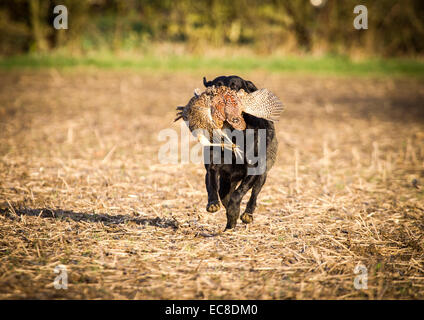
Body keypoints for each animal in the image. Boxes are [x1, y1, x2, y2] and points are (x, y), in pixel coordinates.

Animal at [202, 75, 278, 230]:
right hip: (227, 180)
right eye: (217, 85)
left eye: (235, 86)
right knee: (224, 193)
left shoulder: (253, 169)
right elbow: (212, 185)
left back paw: (247, 214)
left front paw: (234, 210)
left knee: (254, 195)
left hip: (262, 175)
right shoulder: (212, 166)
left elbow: (238, 194)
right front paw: (213, 204)